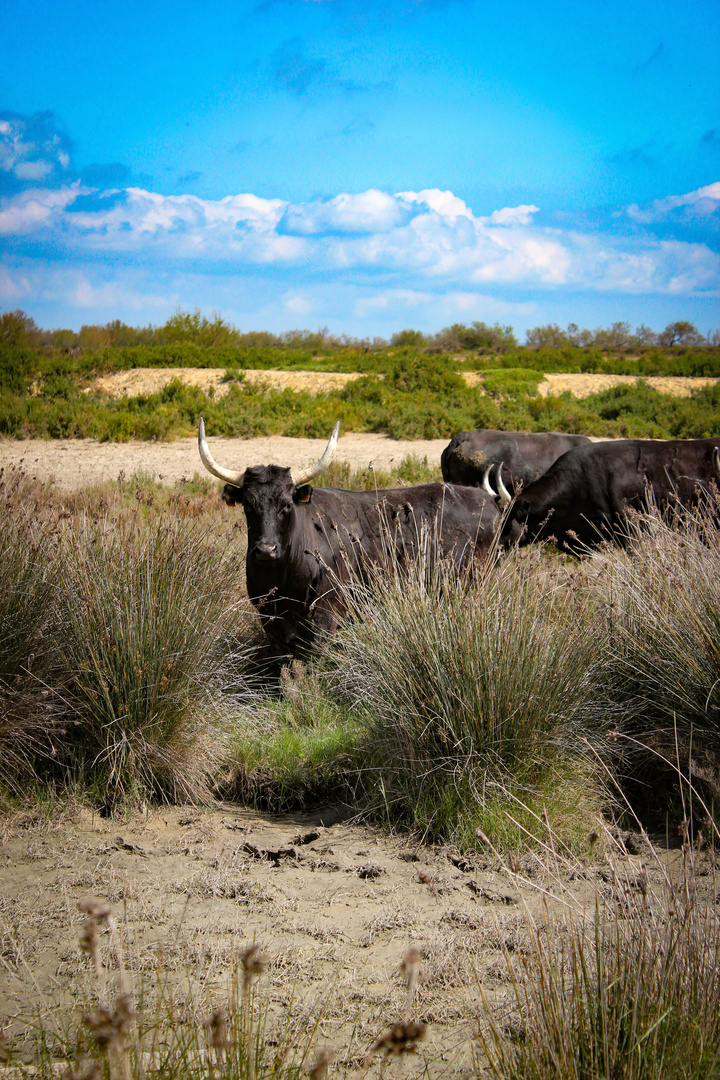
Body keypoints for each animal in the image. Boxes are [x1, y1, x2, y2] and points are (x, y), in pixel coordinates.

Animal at [198, 416, 500, 652]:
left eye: (287, 505)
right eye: (248, 505)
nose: (265, 550)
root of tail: (485, 499)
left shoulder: (325, 618)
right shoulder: (270, 620)